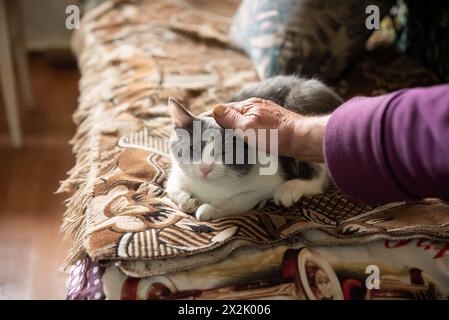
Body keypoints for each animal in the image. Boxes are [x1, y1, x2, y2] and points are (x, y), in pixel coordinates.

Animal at [166, 75, 342, 221]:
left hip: (300, 108)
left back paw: (289, 189)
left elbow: (237, 200)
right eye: (192, 148)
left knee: (321, 177)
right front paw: (186, 200)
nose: (205, 168)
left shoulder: (266, 183)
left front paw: (210, 209)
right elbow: (171, 188)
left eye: (224, 152)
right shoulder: (176, 174)